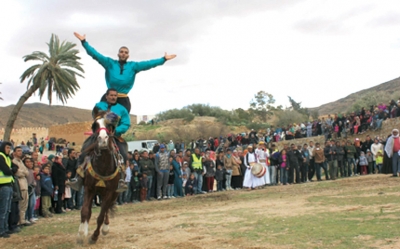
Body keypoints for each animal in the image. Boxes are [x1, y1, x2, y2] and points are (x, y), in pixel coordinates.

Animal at [76, 110, 120, 243]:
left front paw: (94, 236)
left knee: (106, 210)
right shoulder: (89, 189)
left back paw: (105, 228)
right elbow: (85, 211)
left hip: (112, 194)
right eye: (95, 125)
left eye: (109, 125)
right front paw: (81, 234)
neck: (103, 166)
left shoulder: (110, 192)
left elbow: (100, 216)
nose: (103, 139)